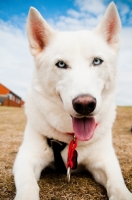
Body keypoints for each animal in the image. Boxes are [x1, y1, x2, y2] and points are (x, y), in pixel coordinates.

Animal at [13, 1, 132, 200]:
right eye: (61, 64)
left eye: (97, 61)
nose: (85, 105)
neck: (73, 140)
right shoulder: (26, 158)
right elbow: (28, 186)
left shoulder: (105, 160)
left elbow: (117, 184)